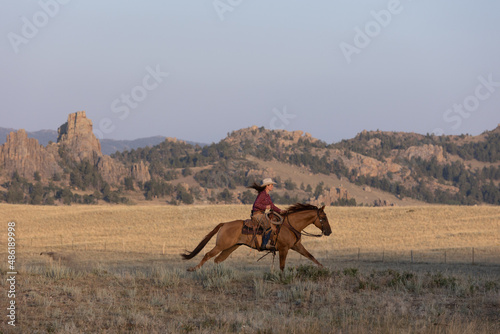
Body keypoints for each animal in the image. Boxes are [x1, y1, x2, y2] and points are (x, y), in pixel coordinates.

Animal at [181, 204, 332, 272]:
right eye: (323, 218)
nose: (329, 232)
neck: (290, 225)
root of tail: (225, 224)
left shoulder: (296, 246)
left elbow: (311, 256)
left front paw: (324, 268)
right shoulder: (284, 249)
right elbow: (282, 266)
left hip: (231, 247)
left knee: (218, 260)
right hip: (221, 245)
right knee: (208, 255)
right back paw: (193, 269)